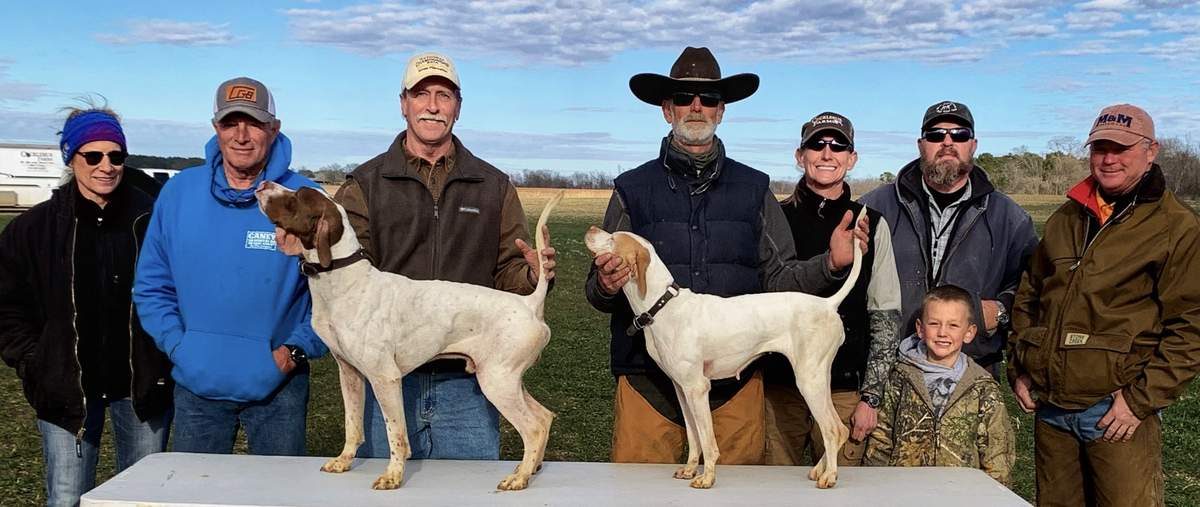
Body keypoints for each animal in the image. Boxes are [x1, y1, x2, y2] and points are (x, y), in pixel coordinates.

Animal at [254, 182, 561, 490]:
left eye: (296, 197)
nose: (263, 185)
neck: (345, 282)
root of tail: (530, 303)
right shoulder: (350, 374)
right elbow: (353, 427)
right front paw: (343, 461)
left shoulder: (385, 378)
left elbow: (397, 436)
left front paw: (393, 476)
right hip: (507, 380)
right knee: (545, 417)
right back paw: (529, 469)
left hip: (497, 382)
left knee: (533, 428)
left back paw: (518, 478)